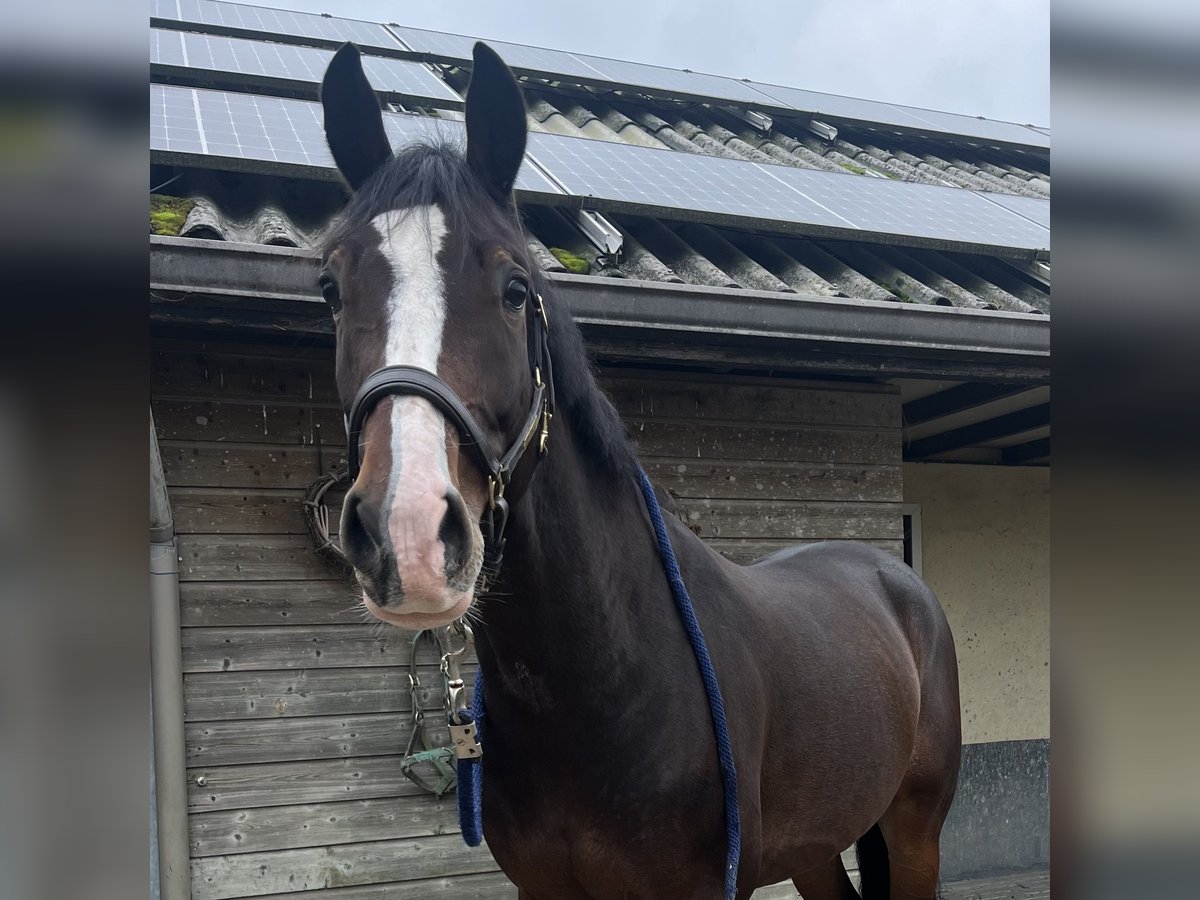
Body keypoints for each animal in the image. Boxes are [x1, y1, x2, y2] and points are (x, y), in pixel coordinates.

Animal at [314, 38, 960, 897]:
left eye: (515, 286)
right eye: (331, 286)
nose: (409, 532)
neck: (601, 682)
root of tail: (896, 579)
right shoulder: (543, 888)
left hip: (916, 829)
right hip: (818, 847)